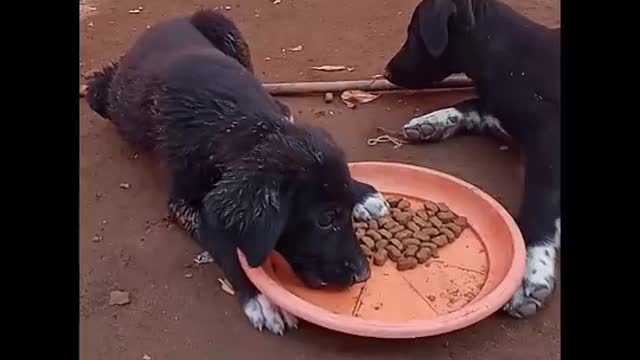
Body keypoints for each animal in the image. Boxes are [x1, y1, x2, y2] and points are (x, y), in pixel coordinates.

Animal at [85, 9, 390, 334]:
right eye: (325, 220)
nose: (364, 275)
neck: (243, 125)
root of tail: (163, 23)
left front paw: (361, 193)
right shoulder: (184, 203)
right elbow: (225, 243)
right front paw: (262, 297)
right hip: (97, 92)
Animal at [384, 0, 560, 318]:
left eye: (413, 33)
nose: (387, 72)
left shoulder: (549, 141)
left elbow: (539, 205)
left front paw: (532, 270)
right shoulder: (496, 111)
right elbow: (472, 105)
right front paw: (432, 122)